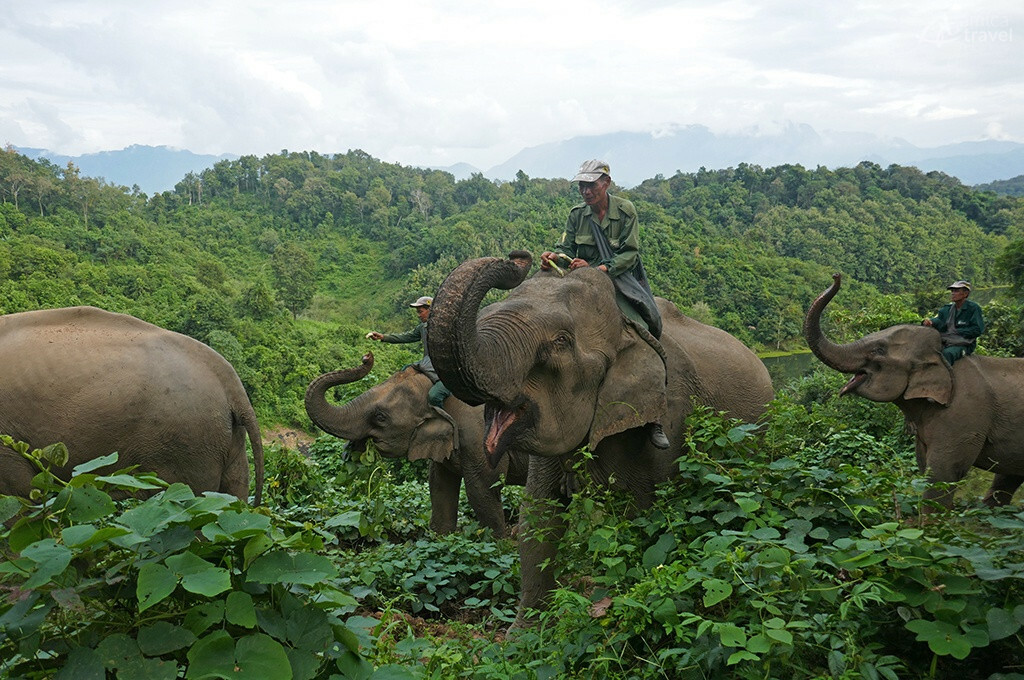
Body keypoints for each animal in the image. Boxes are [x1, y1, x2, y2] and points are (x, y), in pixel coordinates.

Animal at [304, 351, 527, 536]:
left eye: (380, 417)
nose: (366, 357)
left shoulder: (480, 439)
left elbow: (483, 490)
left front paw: (497, 543)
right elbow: (439, 485)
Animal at [426, 250, 774, 624]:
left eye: (561, 341)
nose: (520, 258)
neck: (624, 328)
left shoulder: (670, 411)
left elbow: (643, 521)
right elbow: (538, 516)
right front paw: (523, 633)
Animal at [804, 274, 1024, 511]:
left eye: (879, 350)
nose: (836, 276)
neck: (940, 356)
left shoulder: (964, 416)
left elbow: (943, 474)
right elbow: (923, 465)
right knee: (1007, 479)